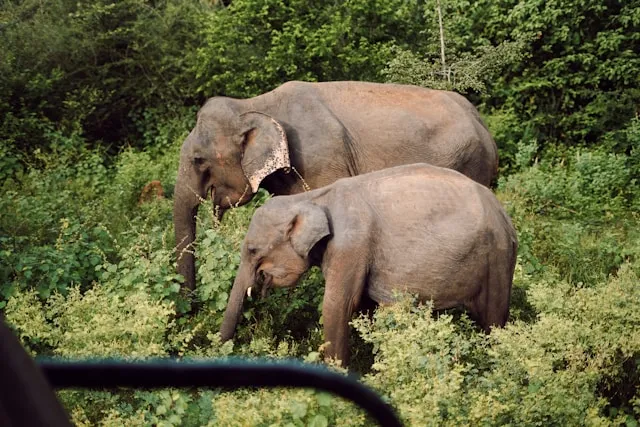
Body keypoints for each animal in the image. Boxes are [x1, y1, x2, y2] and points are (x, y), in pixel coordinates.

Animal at [174, 81, 499, 291]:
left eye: (198, 160)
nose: (191, 307)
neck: (254, 104)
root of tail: (482, 122)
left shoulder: (322, 162)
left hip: (470, 163)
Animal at [219, 163, 518, 366]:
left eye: (252, 250)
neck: (312, 198)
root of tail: (504, 214)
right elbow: (364, 307)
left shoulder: (351, 245)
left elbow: (338, 305)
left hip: (496, 258)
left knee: (493, 320)